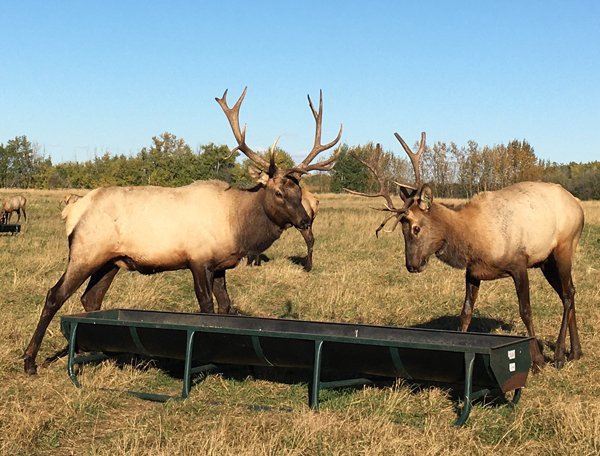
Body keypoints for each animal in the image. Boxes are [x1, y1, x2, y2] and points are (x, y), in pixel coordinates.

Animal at [23, 86, 342, 374]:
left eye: (298, 191)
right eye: (278, 192)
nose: (305, 221)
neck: (237, 225)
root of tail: (74, 210)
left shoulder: (221, 264)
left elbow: (226, 307)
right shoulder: (197, 260)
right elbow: (207, 307)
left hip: (111, 261)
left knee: (91, 299)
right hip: (86, 251)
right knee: (55, 294)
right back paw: (30, 361)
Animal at [346, 134, 584, 370]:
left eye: (416, 228)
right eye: (402, 230)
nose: (412, 265)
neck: (473, 241)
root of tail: (578, 205)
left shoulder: (518, 264)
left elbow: (525, 311)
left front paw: (538, 361)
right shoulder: (473, 272)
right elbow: (466, 313)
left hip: (564, 247)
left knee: (567, 294)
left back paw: (560, 354)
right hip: (545, 261)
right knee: (569, 291)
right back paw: (576, 352)